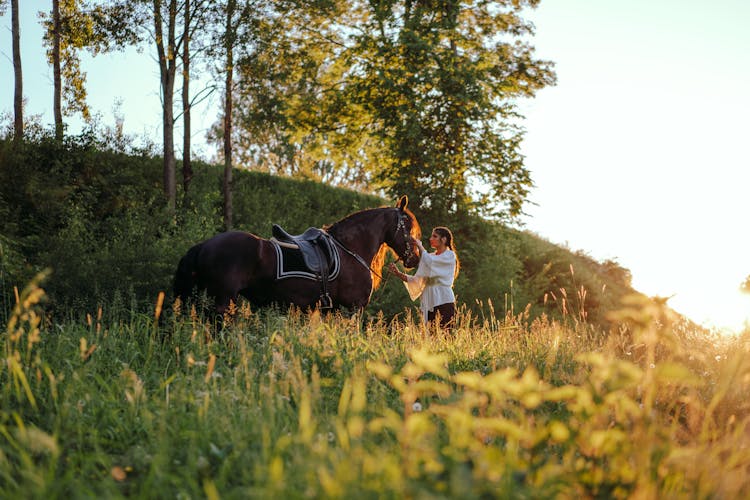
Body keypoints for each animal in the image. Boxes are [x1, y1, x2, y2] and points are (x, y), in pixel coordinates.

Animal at [175, 197, 424, 314]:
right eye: (408, 227)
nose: (415, 259)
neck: (349, 250)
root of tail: (205, 245)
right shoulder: (354, 308)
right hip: (223, 300)